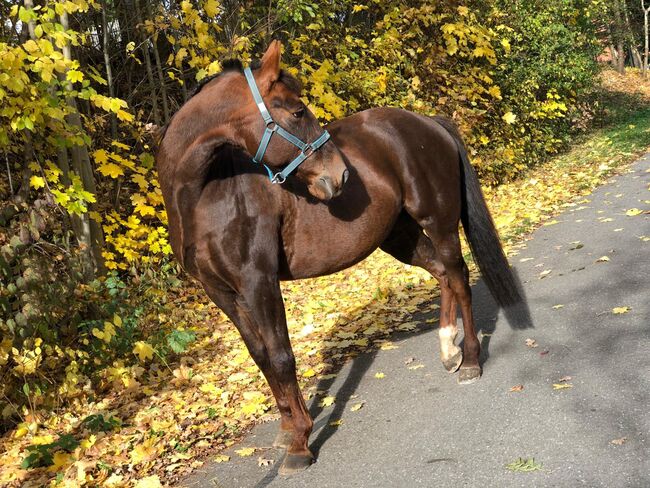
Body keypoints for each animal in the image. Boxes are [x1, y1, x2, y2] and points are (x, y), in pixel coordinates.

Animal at [154, 40, 520, 474]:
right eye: (297, 111)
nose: (340, 175)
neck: (206, 196)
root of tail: (426, 122)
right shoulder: (223, 293)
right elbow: (262, 357)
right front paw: (286, 429)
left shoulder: (258, 281)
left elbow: (281, 356)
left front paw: (300, 443)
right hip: (400, 237)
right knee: (443, 275)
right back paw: (449, 351)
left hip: (439, 222)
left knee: (459, 276)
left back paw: (471, 362)